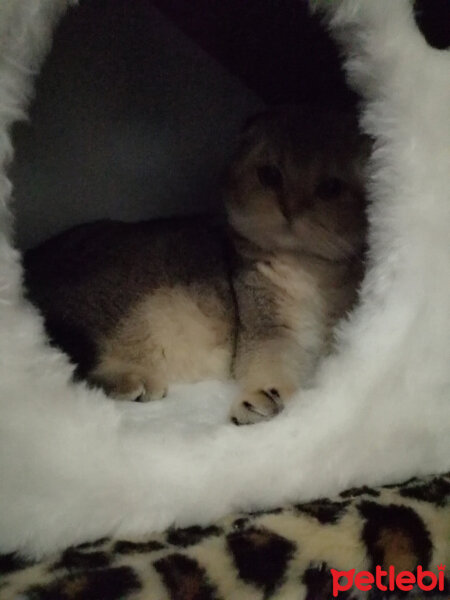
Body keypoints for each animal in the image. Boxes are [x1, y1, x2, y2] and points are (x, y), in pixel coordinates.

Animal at [22, 108, 370, 426]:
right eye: (270, 175)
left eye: (331, 188)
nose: (290, 209)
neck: (308, 269)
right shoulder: (267, 330)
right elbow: (272, 365)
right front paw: (262, 397)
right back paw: (134, 380)